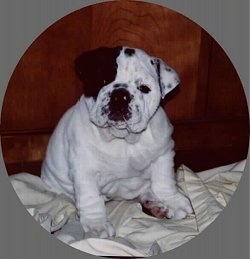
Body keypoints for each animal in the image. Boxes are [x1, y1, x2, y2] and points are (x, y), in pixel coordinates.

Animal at [41, 46, 193, 240]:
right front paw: (96, 225)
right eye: (103, 80)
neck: (122, 139)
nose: (120, 95)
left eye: (144, 88)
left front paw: (173, 200)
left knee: (147, 189)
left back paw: (155, 204)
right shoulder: (84, 170)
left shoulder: (163, 154)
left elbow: (164, 180)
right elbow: (90, 197)